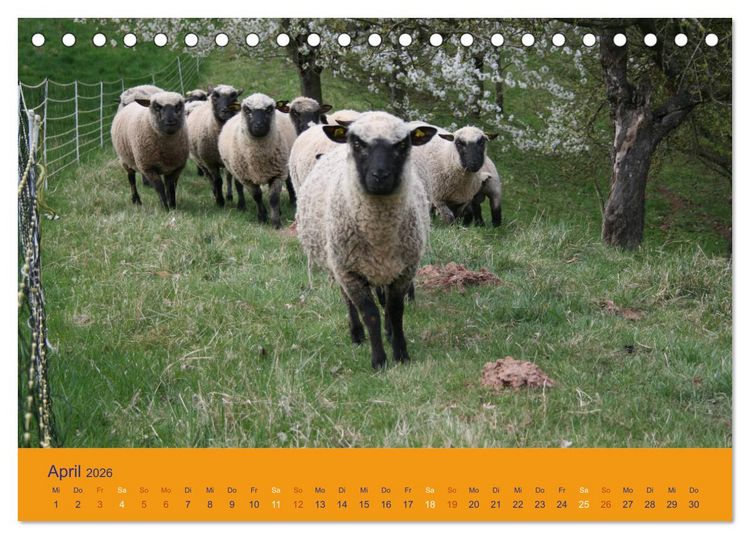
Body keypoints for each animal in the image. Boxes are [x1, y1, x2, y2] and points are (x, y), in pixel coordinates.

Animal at [218, 93, 290, 228]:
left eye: (269, 109)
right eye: (247, 109)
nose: (259, 126)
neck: (258, 159)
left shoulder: (278, 173)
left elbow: (273, 197)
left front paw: (276, 222)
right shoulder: (247, 178)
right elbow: (257, 196)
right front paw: (262, 217)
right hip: (236, 170)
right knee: (239, 186)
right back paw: (242, 206)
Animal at [296, 111, 437, 369]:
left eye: (402, 144)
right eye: (358, 143)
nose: (380, 176)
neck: (378, 233)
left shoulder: (404, 269)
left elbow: (395, 310)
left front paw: (401, 354)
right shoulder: (349, 271)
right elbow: (370, 313)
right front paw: (379, 360)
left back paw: (387, 332)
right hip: (337, 263)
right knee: (349, 301)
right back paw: (357, 334)